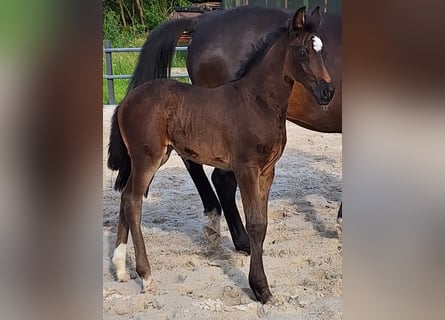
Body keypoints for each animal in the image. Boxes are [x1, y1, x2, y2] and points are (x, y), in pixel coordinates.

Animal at [107, 6, 332, 302]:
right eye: (303, 51)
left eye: (322, 50)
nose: (328, 91)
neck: (257, 102)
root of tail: (125, 101)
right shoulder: (246, 168)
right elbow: (255, 224)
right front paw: (261, 288)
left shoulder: (267, 171)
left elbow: (263, 225)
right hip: (147, 158)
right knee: (133, 202)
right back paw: (145, 275)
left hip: (151, 158)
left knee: (125, 197)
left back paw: (121, 269)